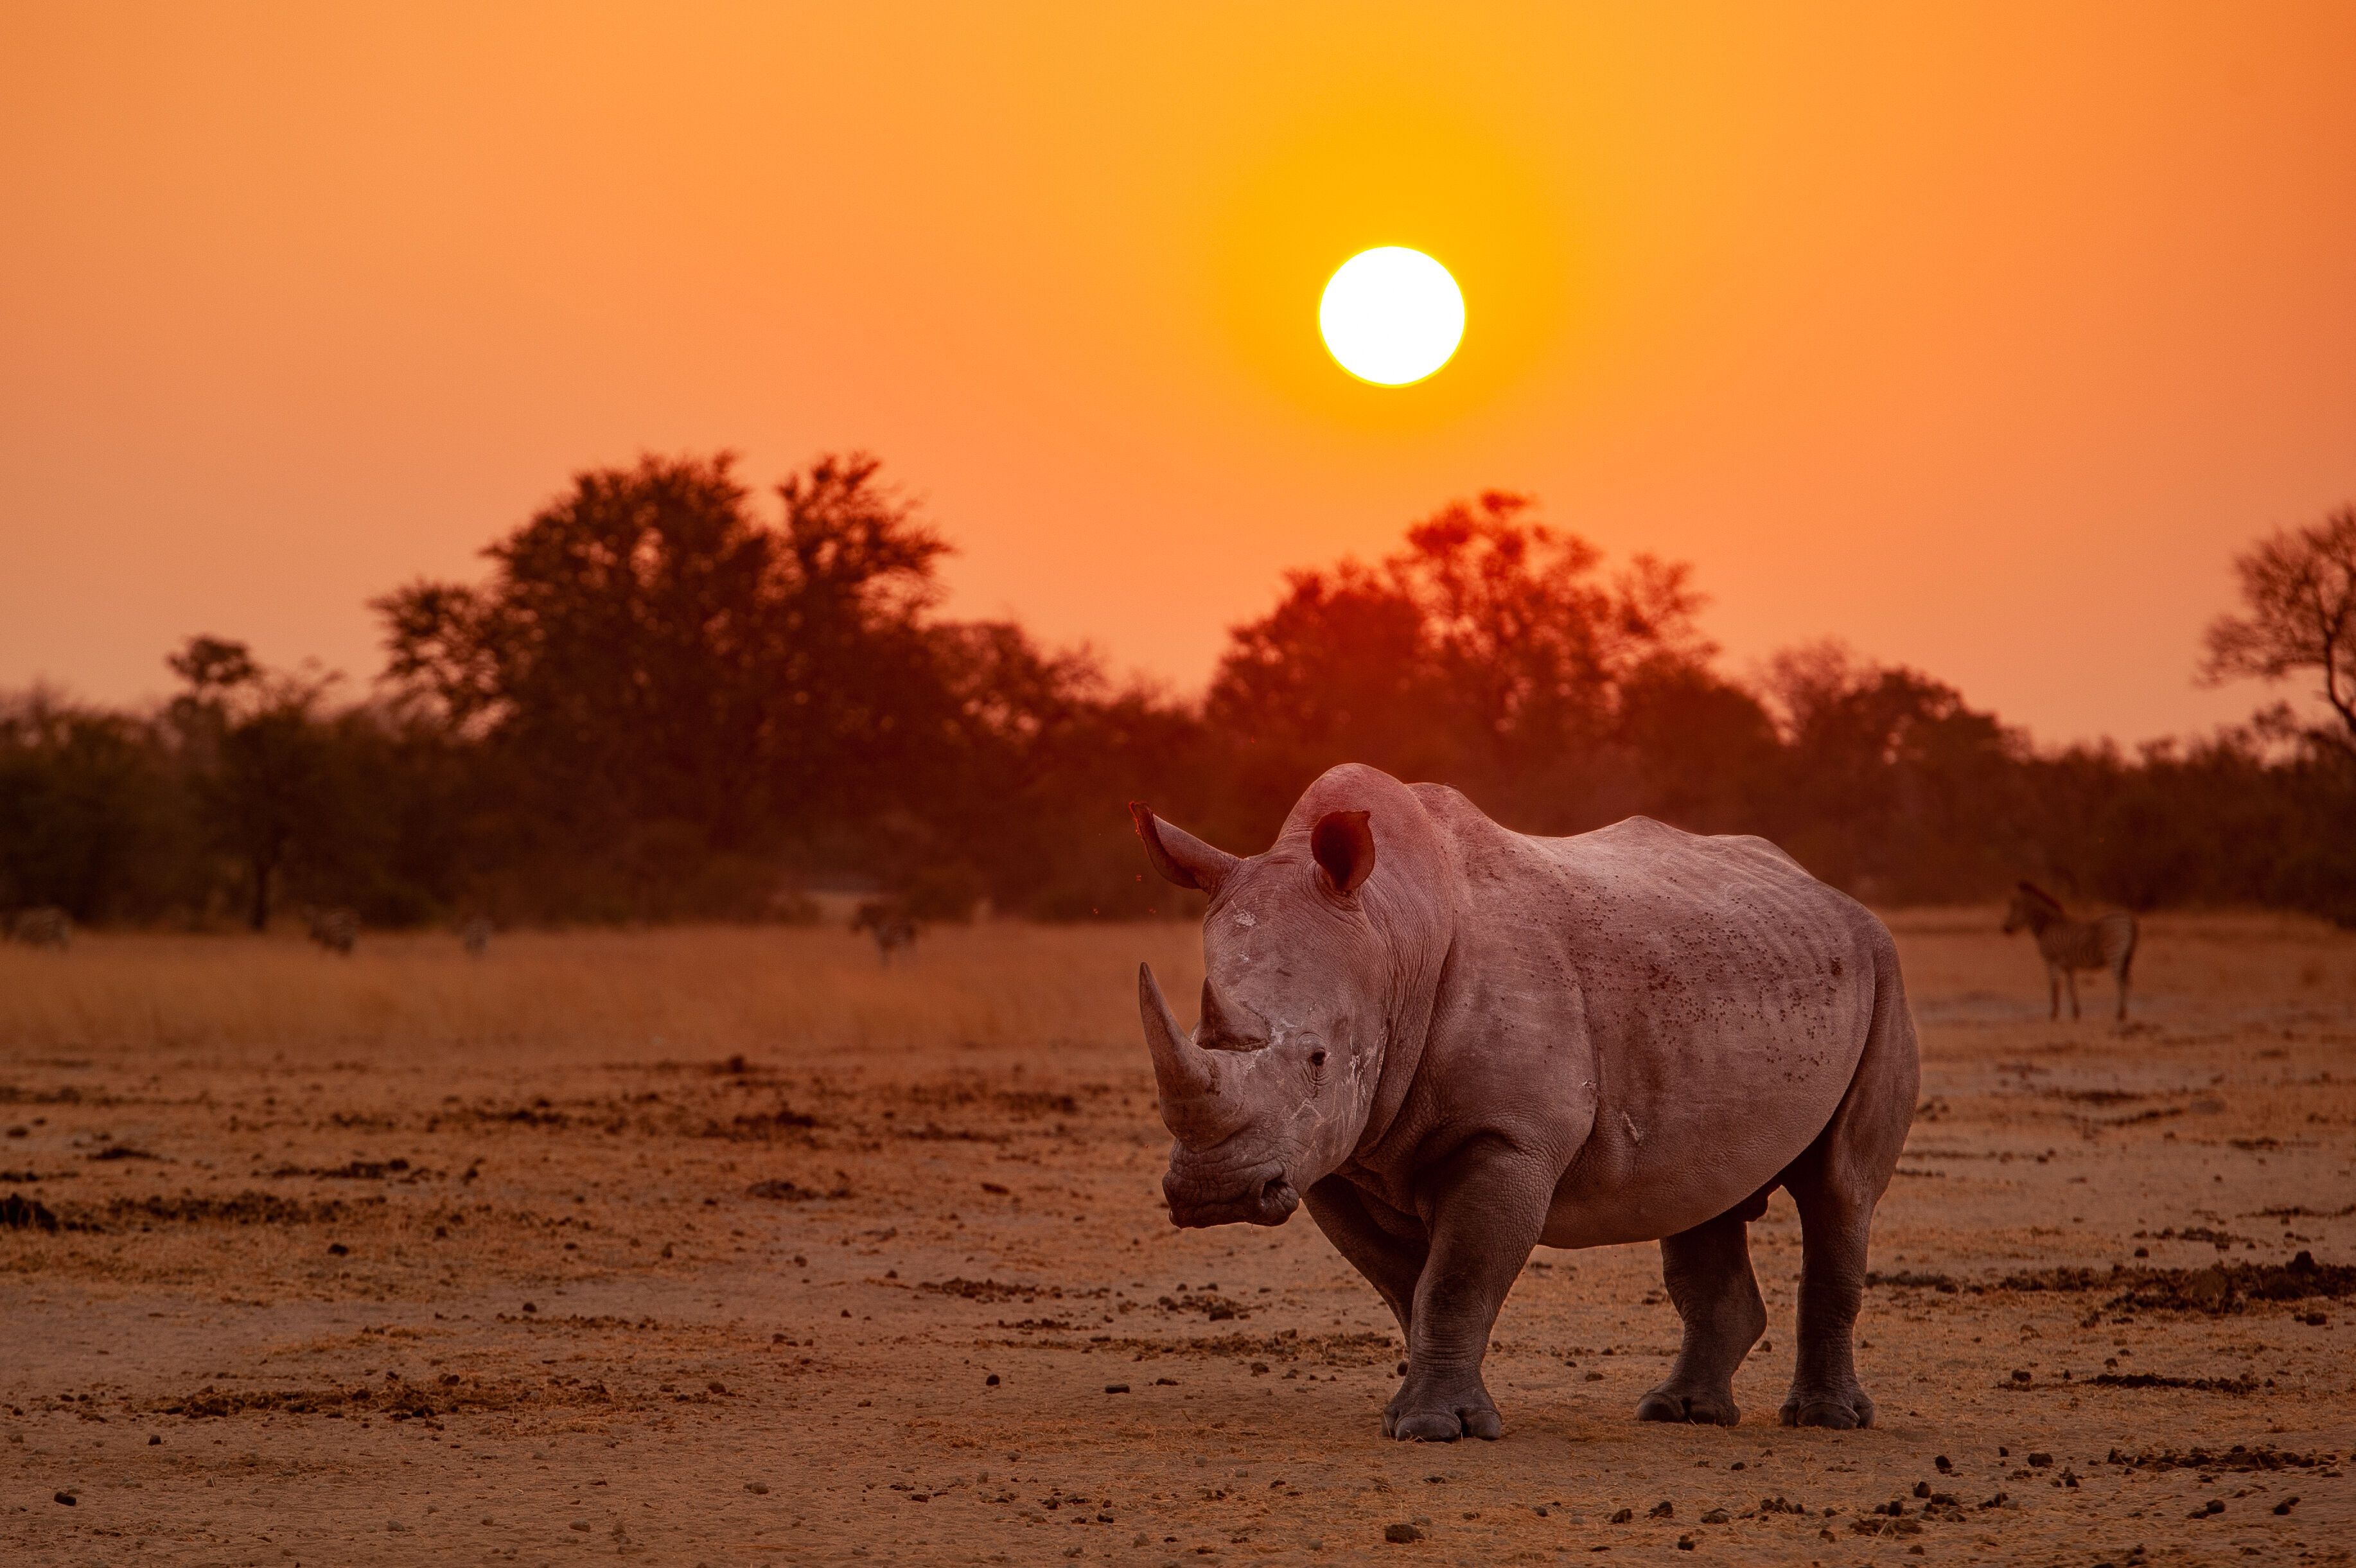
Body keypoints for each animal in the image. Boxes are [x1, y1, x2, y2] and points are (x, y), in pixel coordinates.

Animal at [1129, 764, 1918, 1441]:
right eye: (1197, 1035)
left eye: (1318, 1058)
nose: (1214, 1191)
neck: (1391, 931)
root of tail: (1829, 892)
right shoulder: (1331, 1155)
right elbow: (1406, 1286)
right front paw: (1413, 1413)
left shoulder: (1507, 1137)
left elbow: (1454, 1280)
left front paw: (1435, 1428)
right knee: (1703, 1192)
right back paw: (1681, 1412)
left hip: (1882, 970)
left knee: (1839, 1188)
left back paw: (1825, 1420)